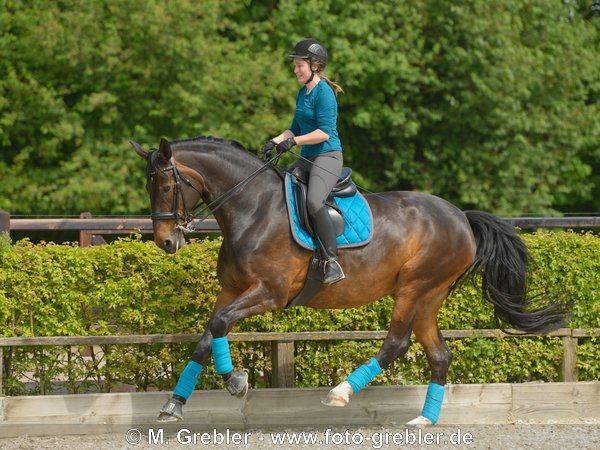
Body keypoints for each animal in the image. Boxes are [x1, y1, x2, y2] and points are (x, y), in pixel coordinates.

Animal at [130, 135, 568, 428]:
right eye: (148, 186)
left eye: (166, 185)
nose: (167, 242)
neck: (251, 208)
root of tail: (461, 217)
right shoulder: (231, 291)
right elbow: (207, 336)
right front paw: (174, 404)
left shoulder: (269, 293)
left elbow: (219, 325)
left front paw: (236, 381)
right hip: (430, 295)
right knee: (439, 354)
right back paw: (424, 420)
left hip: (414, 287)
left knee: (396, 344)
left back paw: (340, 392)